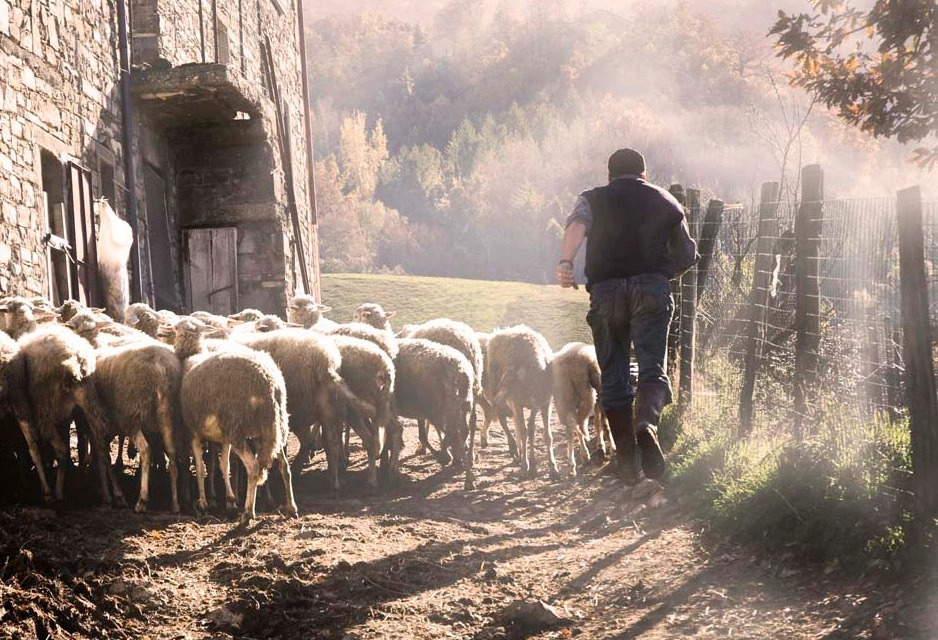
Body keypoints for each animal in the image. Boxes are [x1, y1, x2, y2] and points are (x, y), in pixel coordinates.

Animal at [171, 320, 296, 524]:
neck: (191, 356)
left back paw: (248, 513)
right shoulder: (224, 437)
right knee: (284, 467)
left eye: (175, 330)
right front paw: (230, 500)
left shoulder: (194, 432)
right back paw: (291, 507)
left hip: (238, 431)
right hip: (274, 428)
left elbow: (200, 467)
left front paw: (204, 503)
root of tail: (268, 383)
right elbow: (224, 465)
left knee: (253, 468)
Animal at [231, 328, 376, 492]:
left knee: (309, 443)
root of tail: (327, 362)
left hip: (299, 410)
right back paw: (335, 480)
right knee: (332, 442)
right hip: (326, 408)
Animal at [394, 340, 476, 490]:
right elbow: (422, 432)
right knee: (461, 432)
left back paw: (462, 471)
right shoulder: (421, 409)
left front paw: (443, 456)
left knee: (454, 434)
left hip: (443, 406)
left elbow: (422, 435)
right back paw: (463, 467)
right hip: (461, 404)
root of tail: (456, 370)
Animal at [482, 324, 556, 480]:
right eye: (504, 379)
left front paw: (552, 468)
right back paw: (514, 449)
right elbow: (524, 432)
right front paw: (525, 467)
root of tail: (502, 331)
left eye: (509, 380)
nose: (496, 400)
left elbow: (543, 434)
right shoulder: (518, 402)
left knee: (519, 423)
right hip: (500, 393)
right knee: (505, 421)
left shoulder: (544, 402)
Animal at [548, 342, 608, 478]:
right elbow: (598, 422)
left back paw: (574, 462)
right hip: (589, 394)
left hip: (564, 399)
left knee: (572, 425)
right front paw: (601, 445)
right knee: (582, 423)